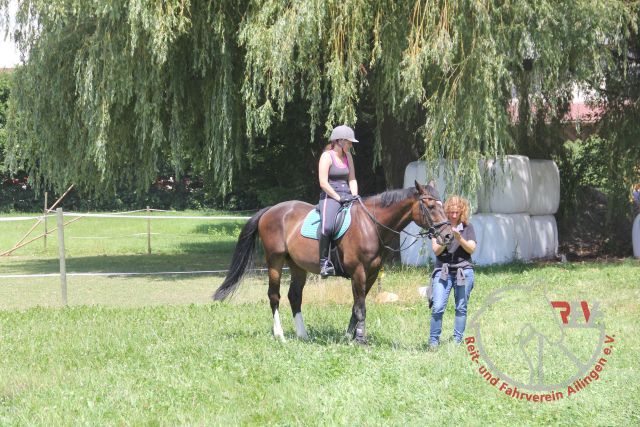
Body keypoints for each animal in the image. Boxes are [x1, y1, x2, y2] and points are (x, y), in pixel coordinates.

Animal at [213, 181, 453, 344]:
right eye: (431, 206)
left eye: (443, 205)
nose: (448, 236)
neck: (371, 225)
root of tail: (270, 210)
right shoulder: (358, 272)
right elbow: (361, 308)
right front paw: (361, 340)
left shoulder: (371, 274)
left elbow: (357, 306)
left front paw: (349, 337)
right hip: (275, 261)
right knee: (274, 296)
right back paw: (280, 335)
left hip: (297, 266)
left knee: (294, 296)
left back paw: (303, 334)